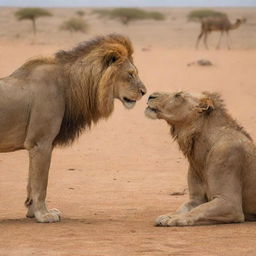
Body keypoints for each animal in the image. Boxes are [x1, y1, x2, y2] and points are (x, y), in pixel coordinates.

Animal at [0, 34, 146, 222]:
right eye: (130, 74)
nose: (144, 92)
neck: (68, 85)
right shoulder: (41, 143)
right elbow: (40, 183)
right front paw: (44, 215)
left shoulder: (37, 145)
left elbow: (31, 183)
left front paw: (32, 213)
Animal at [145, 90, 256, 226]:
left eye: (178, 95)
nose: (150, 96)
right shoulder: (197, 199)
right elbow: (186, 206)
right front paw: (169, 215)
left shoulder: (230, 202)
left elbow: (199, 210)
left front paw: (176, 219)